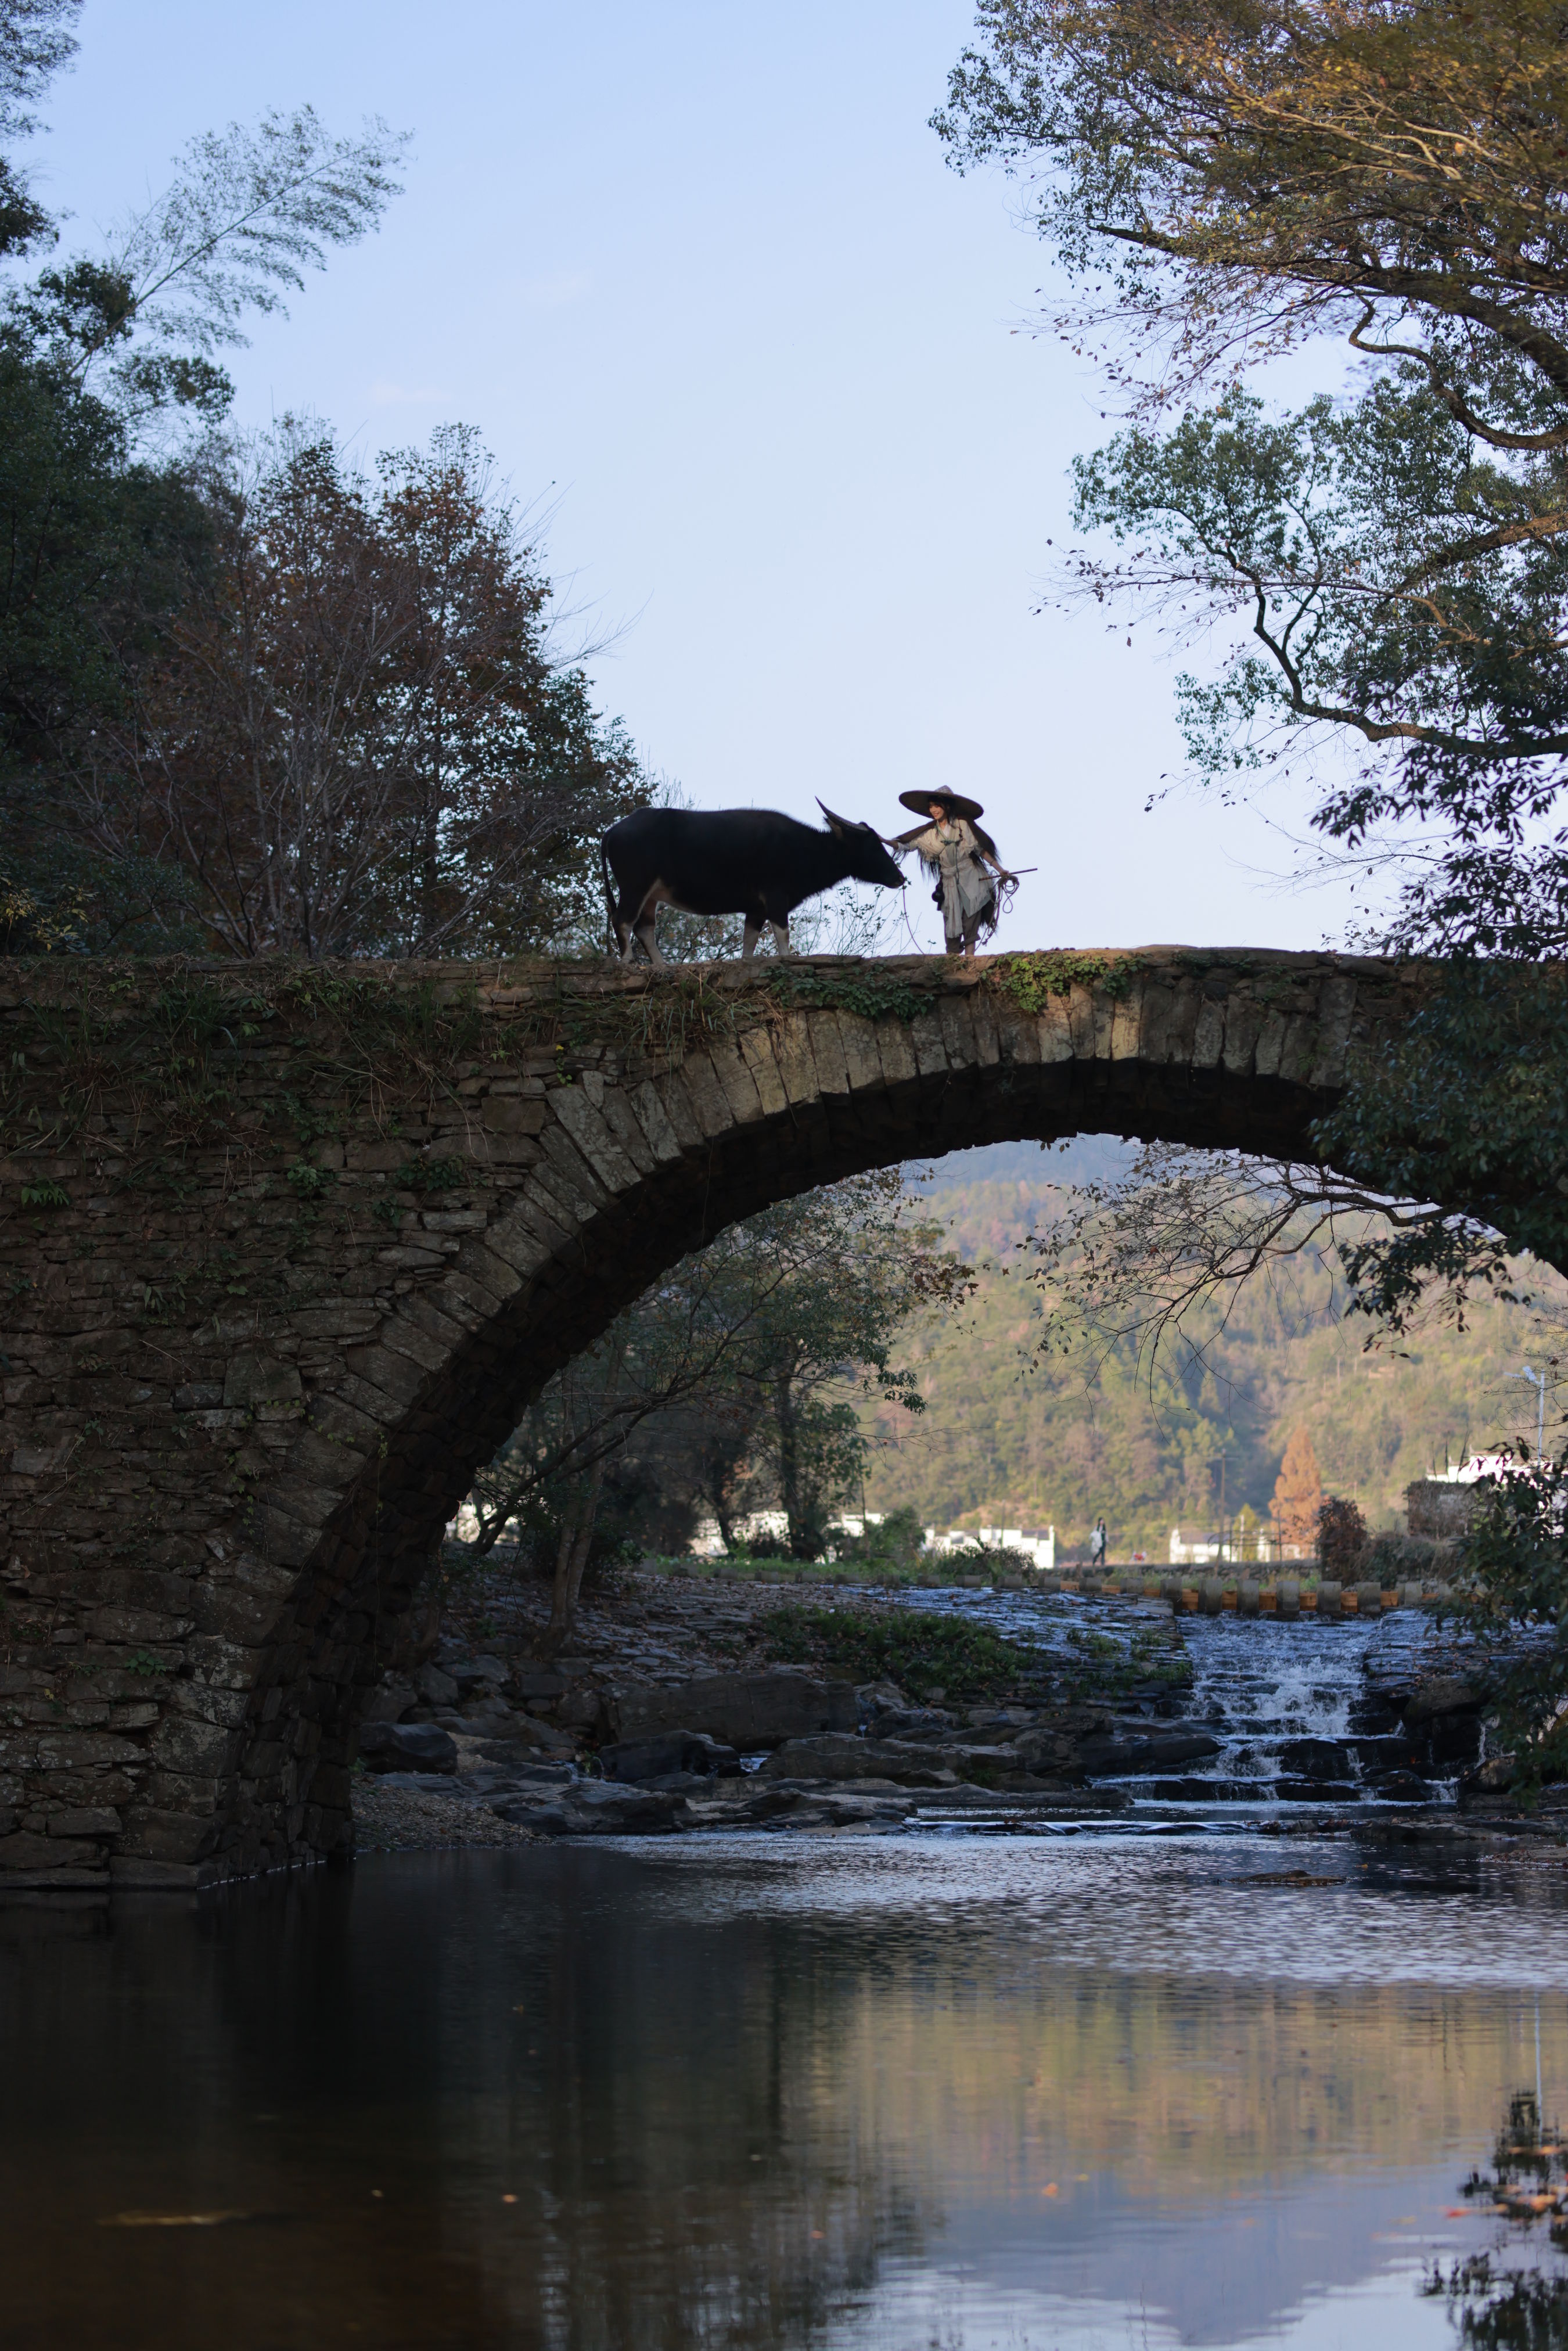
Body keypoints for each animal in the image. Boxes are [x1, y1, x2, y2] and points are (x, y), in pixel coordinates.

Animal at [606, 804, 907, 959]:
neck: (803, 848)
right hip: (635, 886)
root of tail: (613, 830)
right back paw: (628, 962)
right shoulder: (775, 899)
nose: (899, 877)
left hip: (651, 895)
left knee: (644, 928)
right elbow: (783, 937)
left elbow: (748, 944)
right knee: (623, 920)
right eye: (872, 846)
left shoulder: (756, 909)